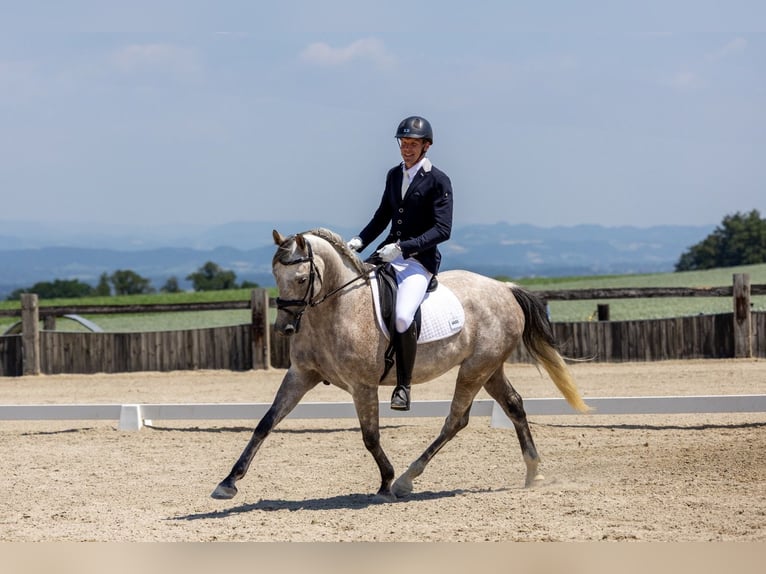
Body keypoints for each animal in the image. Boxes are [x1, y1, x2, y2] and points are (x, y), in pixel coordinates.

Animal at [212, 228, 589, 501]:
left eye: (302, 279)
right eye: (276, 275)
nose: (284, 328)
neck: (337, 308)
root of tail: (504, 288)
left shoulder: (362, 385)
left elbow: (370, 436)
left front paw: (385, 483)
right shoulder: (301, 375)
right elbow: (265, 423)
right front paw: (228, 483)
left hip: (475, 368)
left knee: (456, 420)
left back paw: (406, 480)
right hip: (489, 367)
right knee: (513, 405)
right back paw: (534, 473)